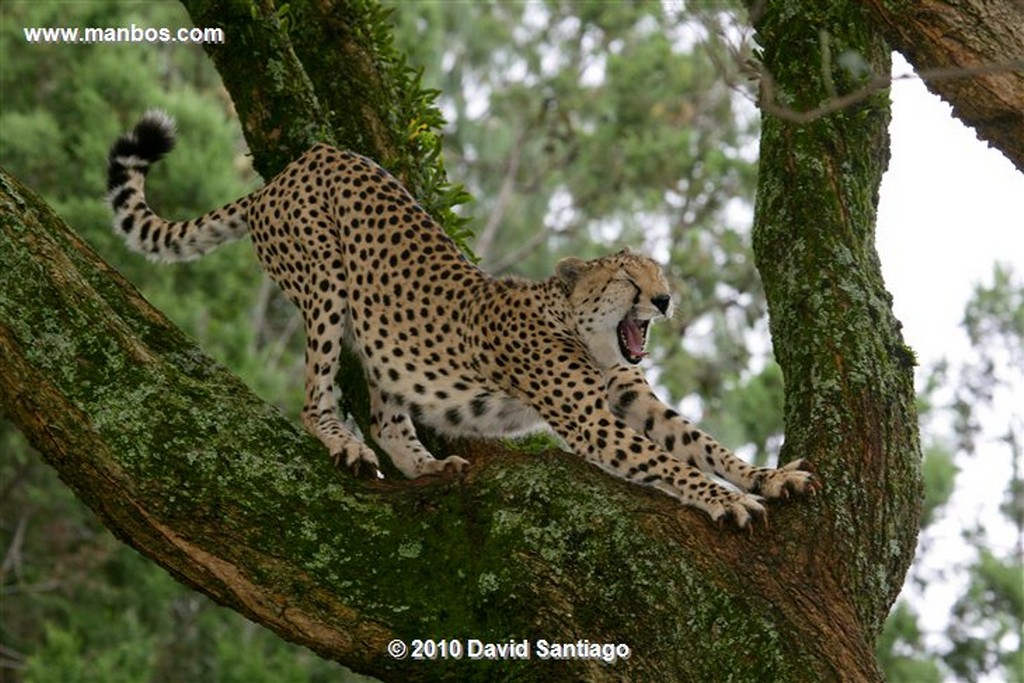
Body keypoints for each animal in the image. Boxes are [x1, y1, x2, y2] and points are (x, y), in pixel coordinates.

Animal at [103, 113, 819, 528]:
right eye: (626, 278)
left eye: (660, 274)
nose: (665, 301)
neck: (586, 332)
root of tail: (293, 168)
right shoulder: (591, 419)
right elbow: (669, 462)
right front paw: (726, 500)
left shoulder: (630, 397)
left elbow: (701, 443)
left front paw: (769, 478)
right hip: (326, 284)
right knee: (316, 396)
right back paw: (342, 444)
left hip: (382, 337)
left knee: (388, 413)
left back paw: (424, 466)